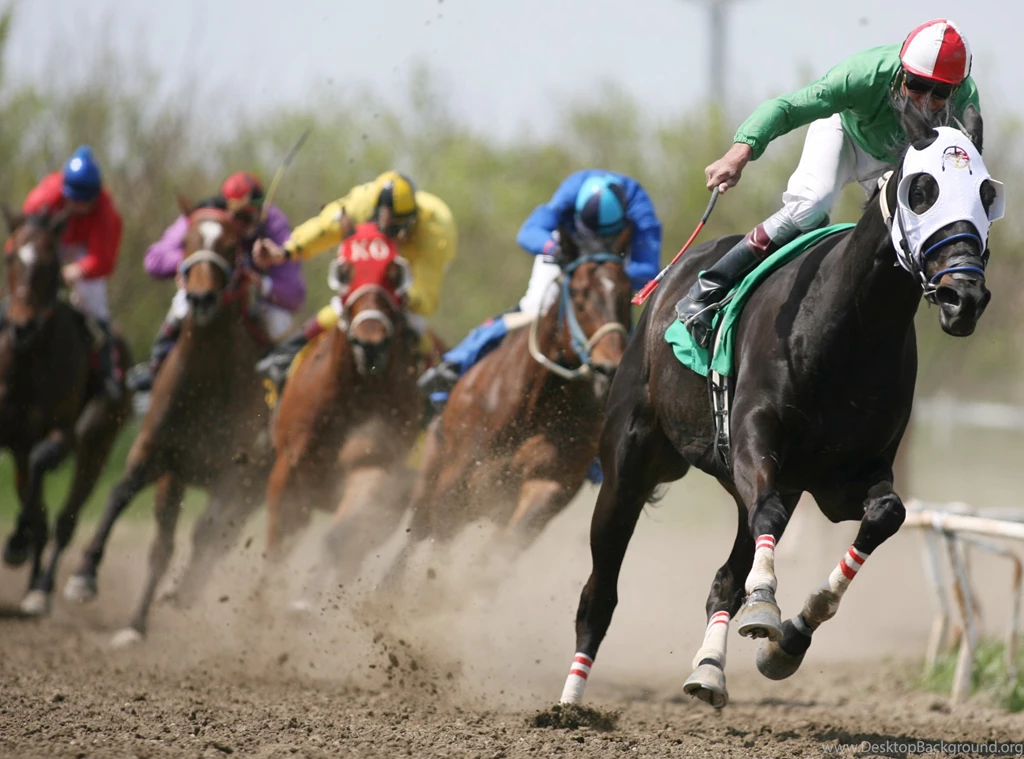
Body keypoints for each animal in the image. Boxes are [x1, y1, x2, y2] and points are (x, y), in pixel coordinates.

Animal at [0, 208, 131, 615]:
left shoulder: (60, 432)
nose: (22, 326)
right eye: (10, 257)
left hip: (98, 446)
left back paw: (41, 586)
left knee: (63, 521)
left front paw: (17, 543)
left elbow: (43, 460)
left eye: (50, 264)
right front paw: (19, 541)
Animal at [64, 198, 274, 643]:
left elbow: (207, 532)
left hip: (254, 488)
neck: (206, 379)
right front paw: (84, 576)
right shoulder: (158, 453)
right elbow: (121, 493)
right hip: (175, 482)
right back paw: (137, 623)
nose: (201, 297)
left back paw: (184, 592)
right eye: (187, 241)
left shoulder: (234, 471)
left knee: (215, 537)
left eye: (231, 246)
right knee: (165, 546)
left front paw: (184, 592)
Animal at [263, 222, 424, 602]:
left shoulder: (374, 462)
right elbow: (276, 549)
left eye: (394, 272)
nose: (371, 344)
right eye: (345, 270)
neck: (353, 392)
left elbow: (343, 535)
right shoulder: (288, 469)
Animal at [381, 225, 632, 590]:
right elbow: (436, 536)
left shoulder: (548, 485)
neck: (532, 406)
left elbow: (499, 553)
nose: (608, 369)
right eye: (579, 294)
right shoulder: (458, 477)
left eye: (628, 295)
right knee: (420, 532)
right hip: (433, 469)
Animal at [558, 104, 1002, 709]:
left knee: (725, 577)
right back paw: (570, 700)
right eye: (921, 190)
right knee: (600, 588)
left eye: (987, 193)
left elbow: (886, 514)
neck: (846, 330)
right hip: (630, 459)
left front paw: (790, 637)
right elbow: (764, 520)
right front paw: (766, 609)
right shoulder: (754, 441)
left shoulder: (843, 479)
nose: (965, 297)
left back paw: (709, 671)